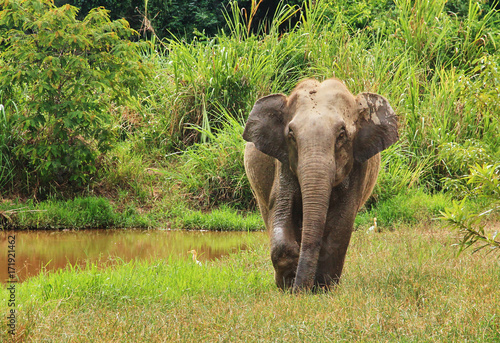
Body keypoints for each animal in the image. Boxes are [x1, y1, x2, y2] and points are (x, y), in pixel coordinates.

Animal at [242, 78, 398, 292]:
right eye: (291, 134)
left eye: (342, 134)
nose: (299, 291)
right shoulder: (283, 161)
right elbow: (281, 209)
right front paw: (290, 283)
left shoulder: (358, 166)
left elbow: (341, 222)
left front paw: (323, 288)